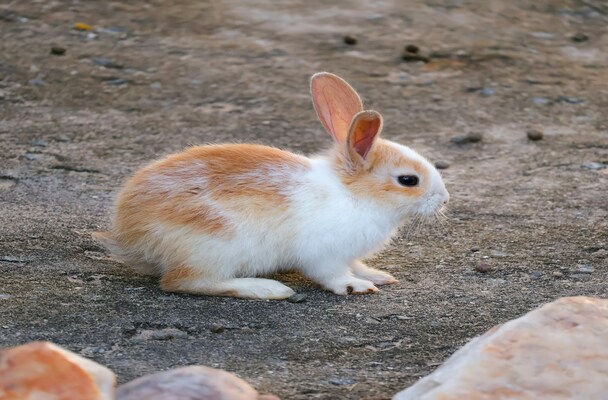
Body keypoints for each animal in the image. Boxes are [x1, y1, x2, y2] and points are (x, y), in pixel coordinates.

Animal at [92, 72, 448, 298]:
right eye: (408, 180)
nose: (443, 199)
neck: (353, 195)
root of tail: (131, 235)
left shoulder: (348, 253)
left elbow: (356, 265)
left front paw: (377, 276)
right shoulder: (324, 255)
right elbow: (333, 275)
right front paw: (356, 287)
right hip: (215, 247)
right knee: (184, 282)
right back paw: (267, 289)